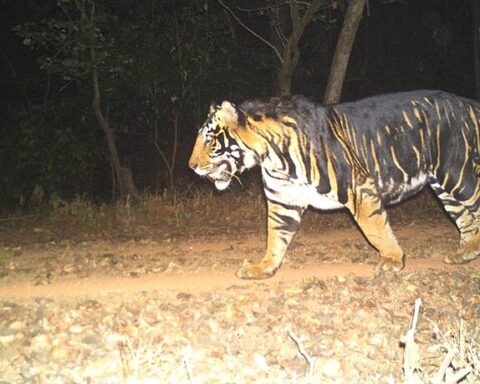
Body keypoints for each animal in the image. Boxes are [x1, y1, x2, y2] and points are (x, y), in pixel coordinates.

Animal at [188, 91, 480, 280]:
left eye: (209, 140)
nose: (191, 166)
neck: (272, 157)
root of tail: (469, 103)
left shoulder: (359, 189)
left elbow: (376, 231)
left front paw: (392, 261)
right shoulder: (283, 200)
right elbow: (275, 237)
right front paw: (263, 268)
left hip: (459, 176)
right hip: (445, 188)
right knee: (466, 220)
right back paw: (465, 254)